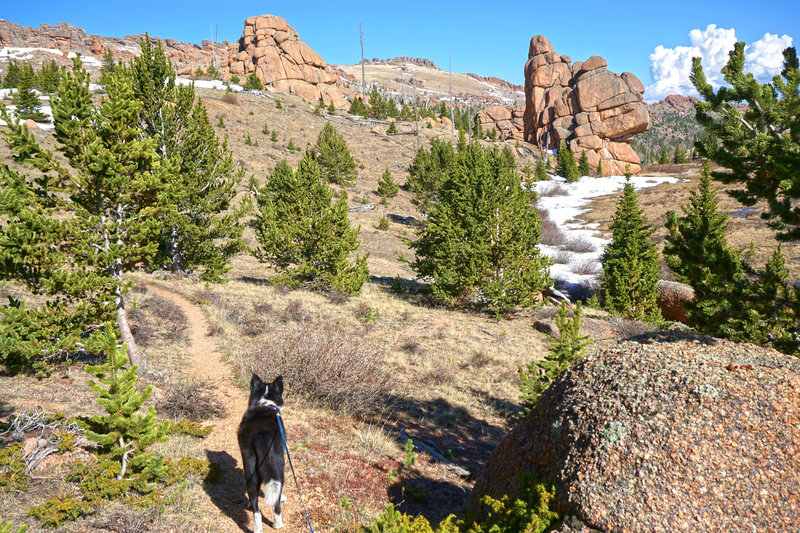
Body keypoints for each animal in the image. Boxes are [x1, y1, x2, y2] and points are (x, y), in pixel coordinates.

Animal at [238, 372, 288, 528]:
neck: (265, 403)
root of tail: (261, 436)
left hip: (251, 471)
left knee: (257, 510)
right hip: (277, 466)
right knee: (274, 506)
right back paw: (277, 524)